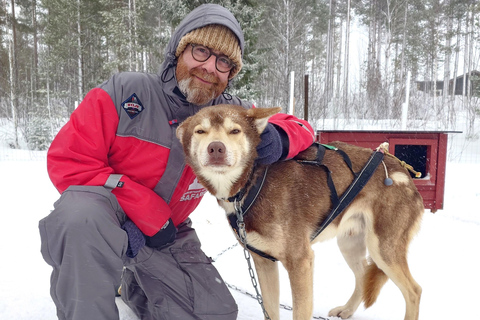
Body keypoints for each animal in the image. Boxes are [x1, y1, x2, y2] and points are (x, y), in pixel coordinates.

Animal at [176, 104, 424, 318]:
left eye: (235, 130)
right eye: (200, 131)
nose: (216, 147)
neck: (251, 183)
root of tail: (403, 172)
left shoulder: (300, 262)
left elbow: (300, 311)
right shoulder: (264, 262)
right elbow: (270, 311)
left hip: (382, 248)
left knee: (414, 291)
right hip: (350, 243)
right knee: (363, 274)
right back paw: (347, 310)